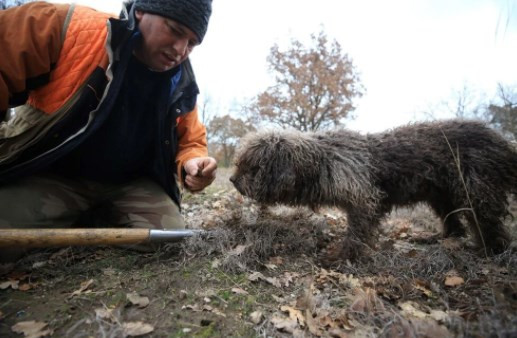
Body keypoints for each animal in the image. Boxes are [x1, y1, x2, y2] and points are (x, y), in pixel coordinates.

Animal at [230, 120, 516, 260]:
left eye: (252, 167)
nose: (233, 180)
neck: (322, 161)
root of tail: (504, 144)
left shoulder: (363, 199)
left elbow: (356, 232)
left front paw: (344, 256)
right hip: (441, 194)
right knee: (453, 222)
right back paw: (442, 239)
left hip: (475, 190)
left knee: (489, 224)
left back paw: (491, 251)